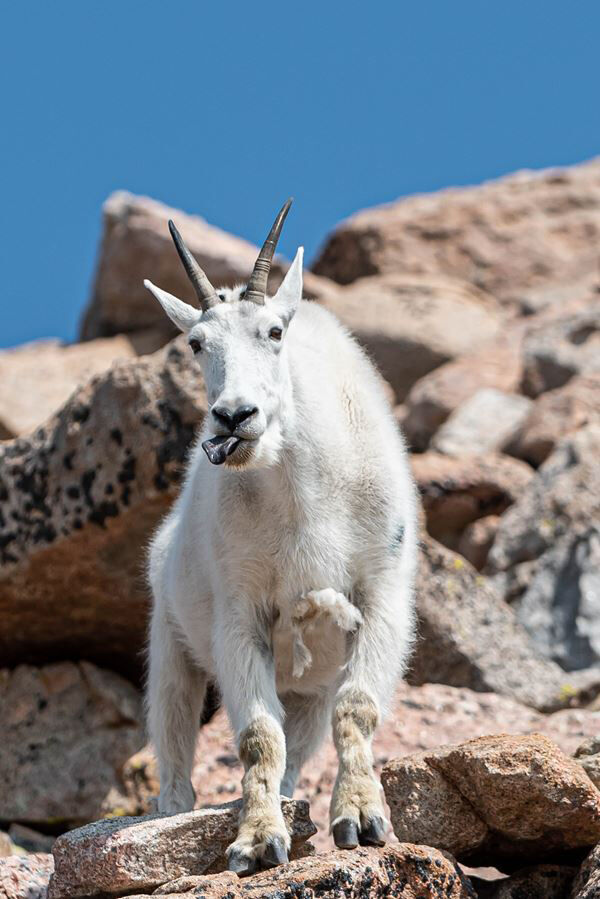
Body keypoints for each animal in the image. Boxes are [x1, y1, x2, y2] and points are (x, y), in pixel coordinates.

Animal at [144, 199, 417, 875]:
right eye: (196, 343)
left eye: (274, 332)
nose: (234, 418)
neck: (302, 493)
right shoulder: (239, 613)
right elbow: (256, 736)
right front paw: (257, 843)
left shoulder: (381, 596)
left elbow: (357, 709)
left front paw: (361, 821)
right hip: (169, 638)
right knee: (174, 732)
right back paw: (170, 816)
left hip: (308, 689)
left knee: (302, 745)